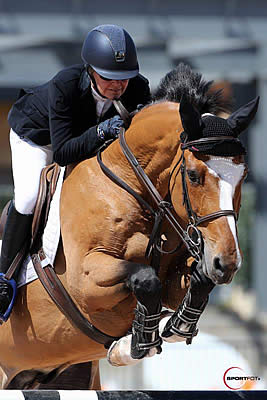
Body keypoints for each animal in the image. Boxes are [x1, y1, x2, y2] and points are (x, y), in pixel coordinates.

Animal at [0, 64, 260, 390]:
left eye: (244, 175)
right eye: (192, 175)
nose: (226, 263)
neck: (132, 186)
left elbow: (198, 282)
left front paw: (176, 326)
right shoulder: (85, 280)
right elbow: (146, 278)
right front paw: (136, 343)